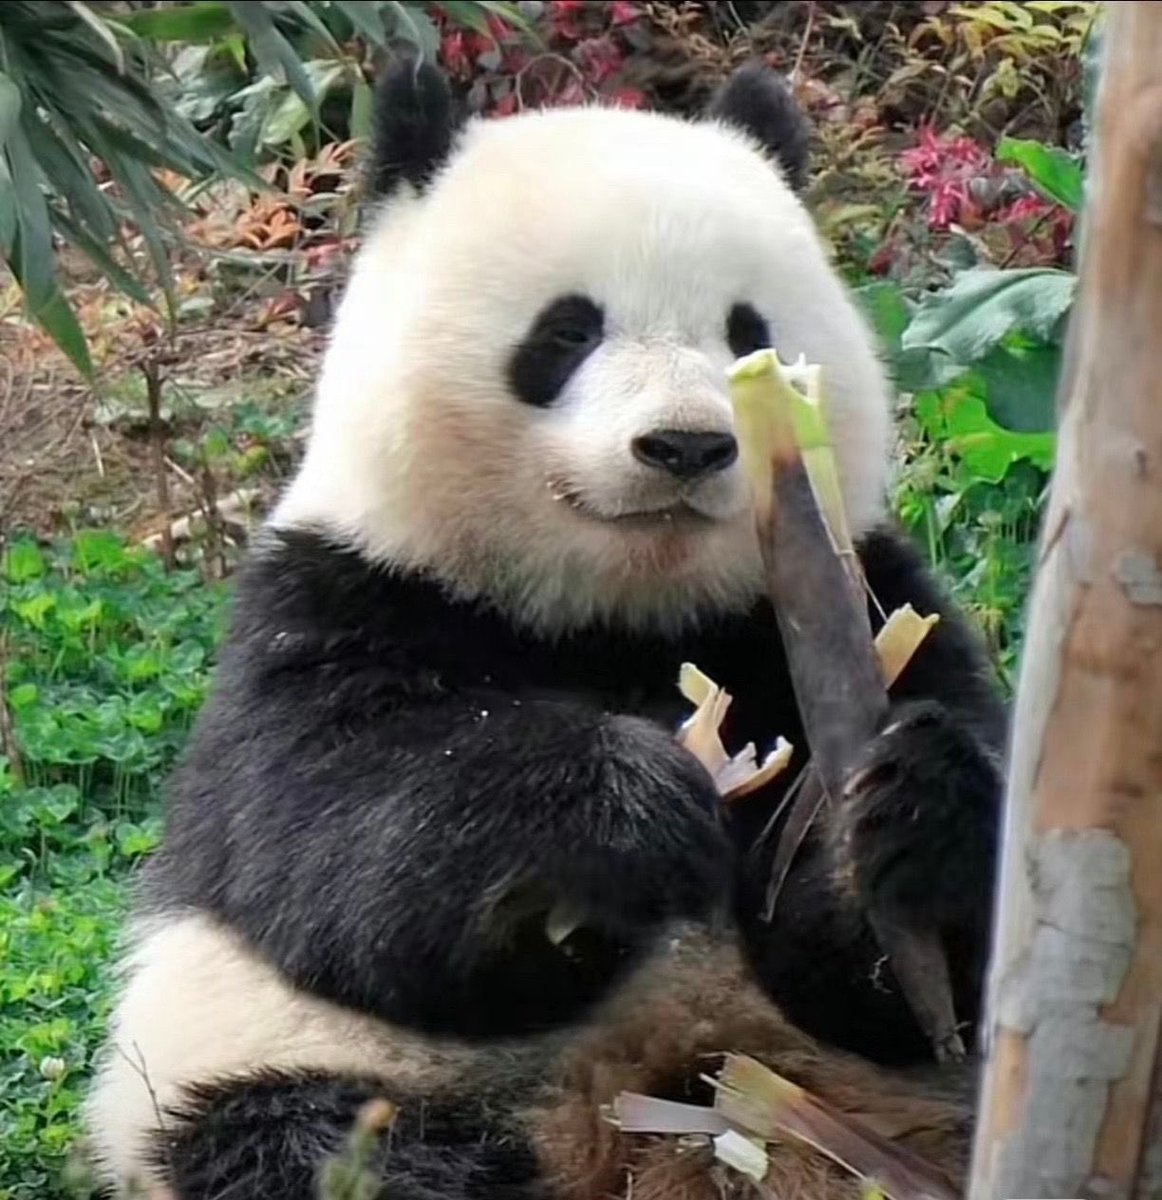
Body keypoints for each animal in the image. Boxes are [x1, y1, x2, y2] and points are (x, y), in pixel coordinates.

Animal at [85, 58, 1007, 1200]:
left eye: (747, 332)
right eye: (566, 332)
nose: (686, 445)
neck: (621, 615)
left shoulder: (857, 589)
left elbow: (915, 962)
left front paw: (894, 815)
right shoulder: (339, 600)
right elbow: (339, 845)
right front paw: (621, 812)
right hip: (264, 1057)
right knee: (312, 1142)